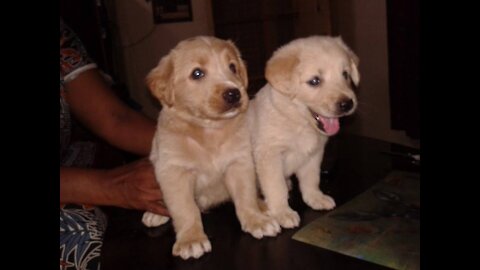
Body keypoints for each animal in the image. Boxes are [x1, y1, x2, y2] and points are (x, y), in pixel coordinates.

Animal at [142, 35, 282, 260]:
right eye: (197, 73)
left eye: (232, 67)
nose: (234, 94)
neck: (209, 130)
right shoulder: (174, 173)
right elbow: (185, 209)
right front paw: (191, 239)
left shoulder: (239, 163)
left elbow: (245, 196)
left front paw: (255, 220)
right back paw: (155, 214)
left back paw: (263, 206)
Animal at [246, 35, 358, 229]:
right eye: (314, 81)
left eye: (345, 74)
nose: (347, 104)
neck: (298, 121)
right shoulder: (269, 156)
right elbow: (276, 187)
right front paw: (282, 212)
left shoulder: (314, 155)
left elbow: (311, 179)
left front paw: (315, 198)